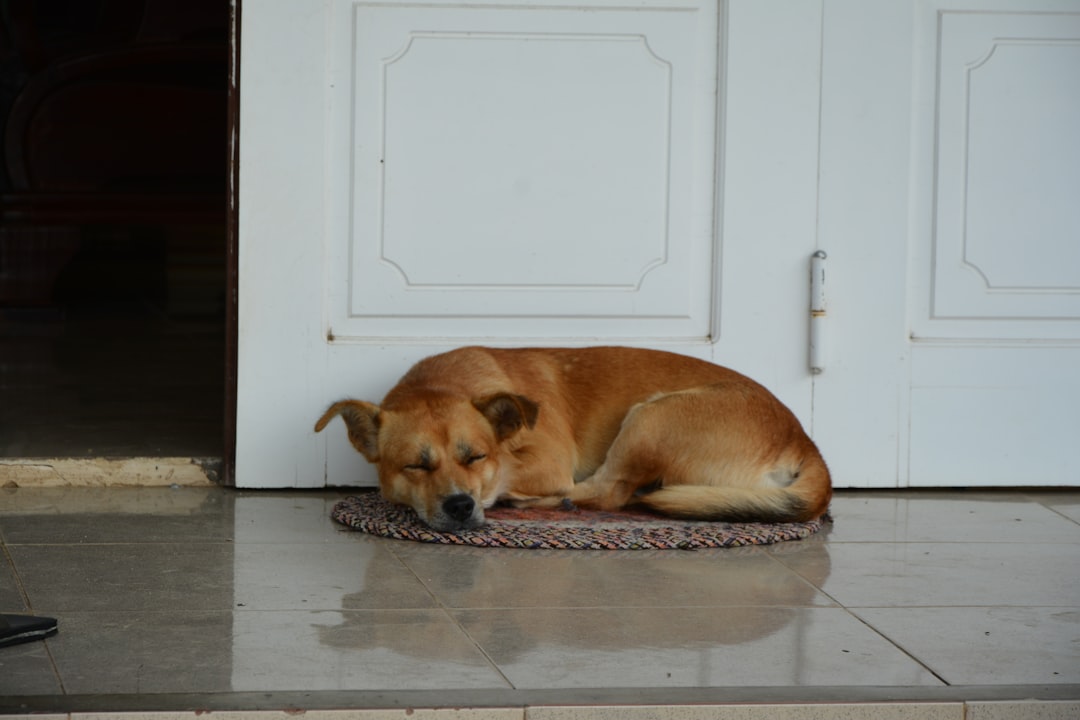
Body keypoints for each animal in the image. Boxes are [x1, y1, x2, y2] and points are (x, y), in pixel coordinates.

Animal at [315, 345, 829, 533]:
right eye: (416, 465)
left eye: (476, 456)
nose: (460, 505)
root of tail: (803, 439)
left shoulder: (547, 461)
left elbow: (511, 476)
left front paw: (504, 494)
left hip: (650, 417)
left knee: (611, 492)